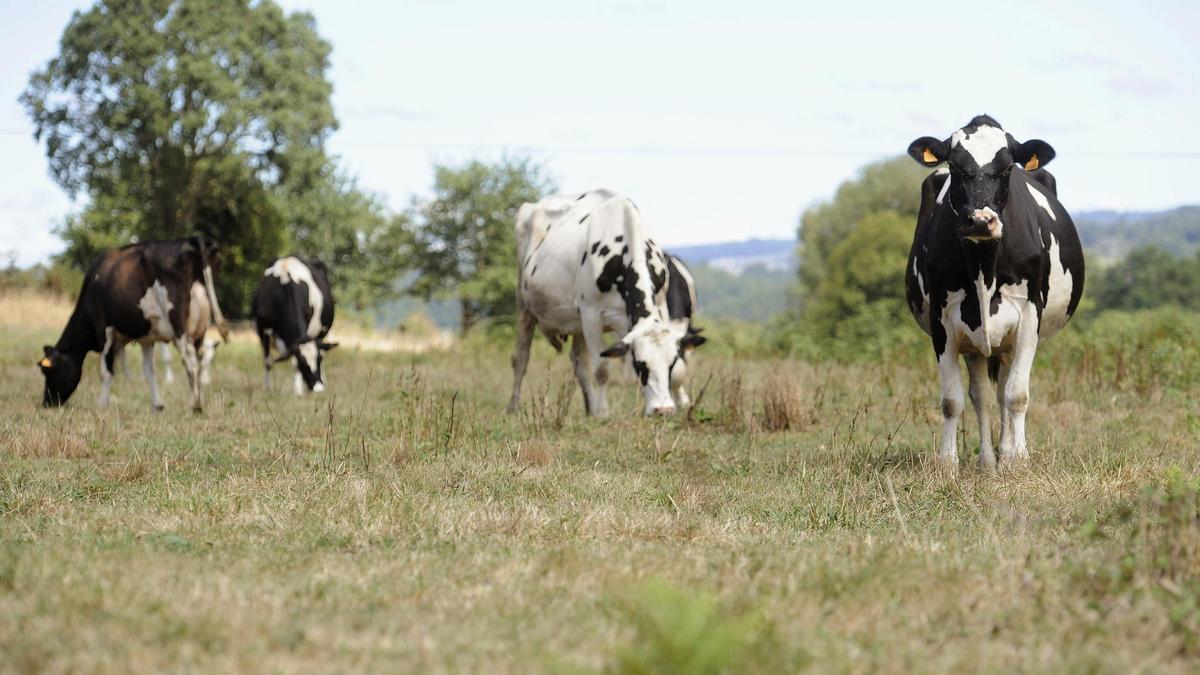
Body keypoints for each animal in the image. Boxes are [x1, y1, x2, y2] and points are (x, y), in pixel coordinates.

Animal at [38, 235, 228, 410]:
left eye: (48, 370)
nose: (47, 403)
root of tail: (192, 239)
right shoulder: (147, 338)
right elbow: (149, 371)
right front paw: (157, 405)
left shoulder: (104, 330)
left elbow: (106, 371)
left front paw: (102, 404)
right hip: (200, 329)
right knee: (200, 359)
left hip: (179, 325)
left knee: (190, 362)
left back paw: (195, 405)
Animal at [252, 255, 338, 393]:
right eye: (303, 363)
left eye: (318, 360)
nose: (318, 388)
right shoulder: (262, 330)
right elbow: (268, 361)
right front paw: (267, 388)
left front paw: (297, 390)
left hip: (322, 333)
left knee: (324, 349)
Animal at [504, 186, 700, 413]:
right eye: (640, 364)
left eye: (670, 362)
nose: (663, 409)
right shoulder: (591, 315)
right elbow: (602, 369)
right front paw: (604, 412)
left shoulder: (659, 307)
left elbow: (677, 370)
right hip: (524, 306)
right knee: (520, 358)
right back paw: (513, 406)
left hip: (575, 320)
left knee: (579, 362)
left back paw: (590, 409)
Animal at [902, 115, 1084, 470]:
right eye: (956, 167)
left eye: (1007, 168)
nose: (981, 221)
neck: (983, 269)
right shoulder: (943, 322)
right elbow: (952, 400)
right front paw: (948, 464)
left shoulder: (1029, 316)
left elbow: (1017, 395)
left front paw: (1017, 459)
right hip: (975, 345)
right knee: (983, 395)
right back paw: (988, 460)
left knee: (1003, 392)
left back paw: (1009, 453)